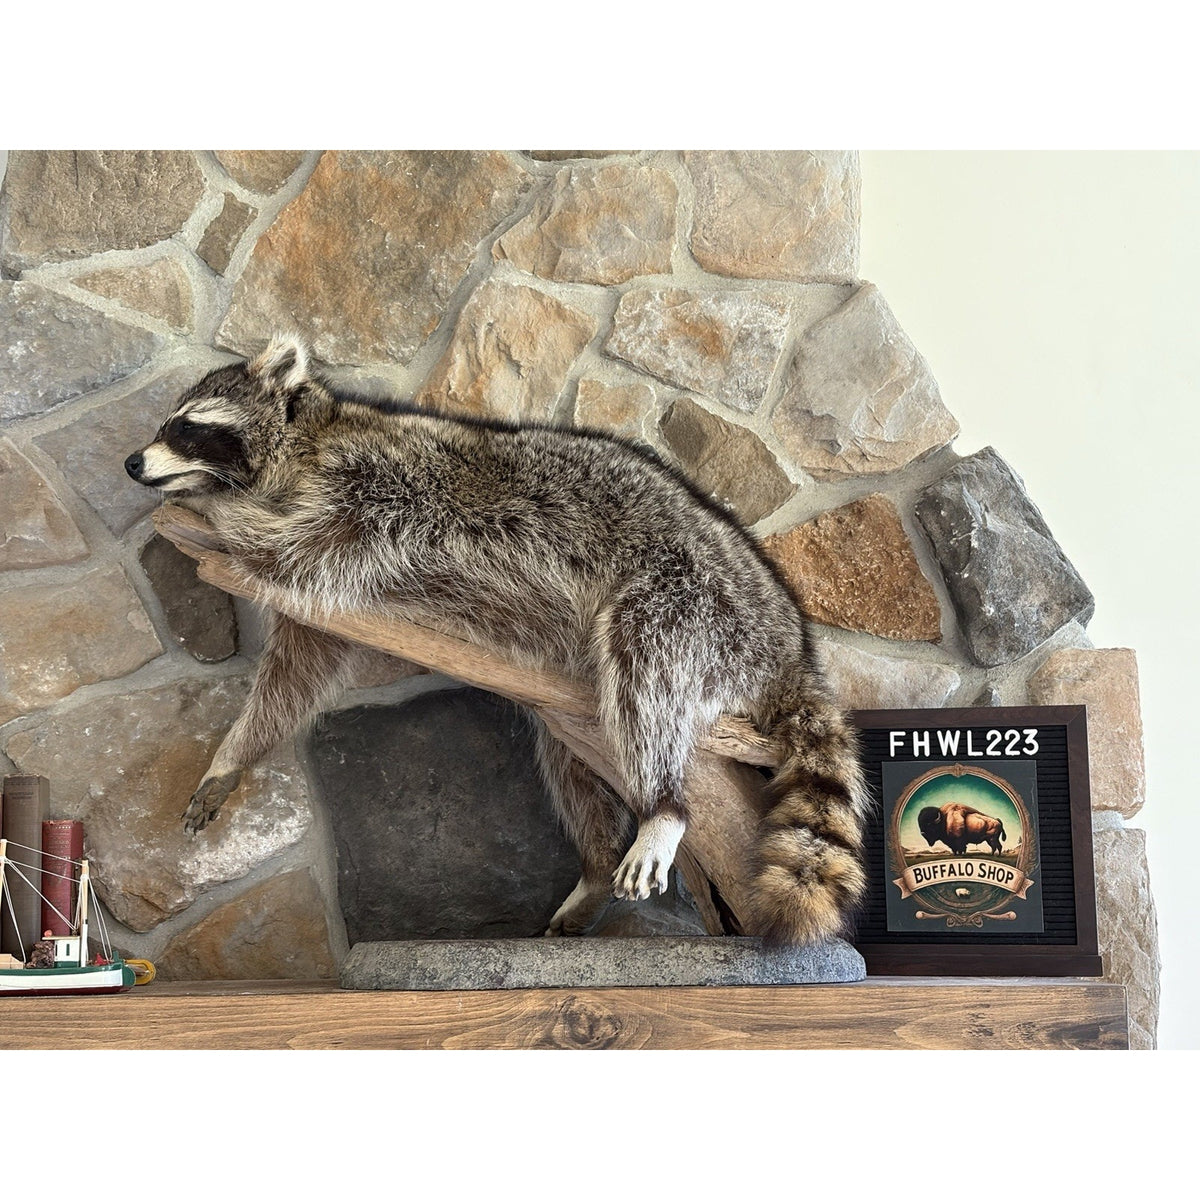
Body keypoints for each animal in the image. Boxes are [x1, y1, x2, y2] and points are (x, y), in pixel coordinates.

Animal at [125, 334, 870, 944]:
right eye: (165, 424)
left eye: (186, 427)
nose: (132, 462)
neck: (304, 446)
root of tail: (791, 640)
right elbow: (297, 669)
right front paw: (234, 753)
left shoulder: (369, 491)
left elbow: (282, 551)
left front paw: (214, 506)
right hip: (597, 685)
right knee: (577, 752)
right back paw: (597, 861)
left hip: (692, 600)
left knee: (645, 676)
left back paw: (664, 807)